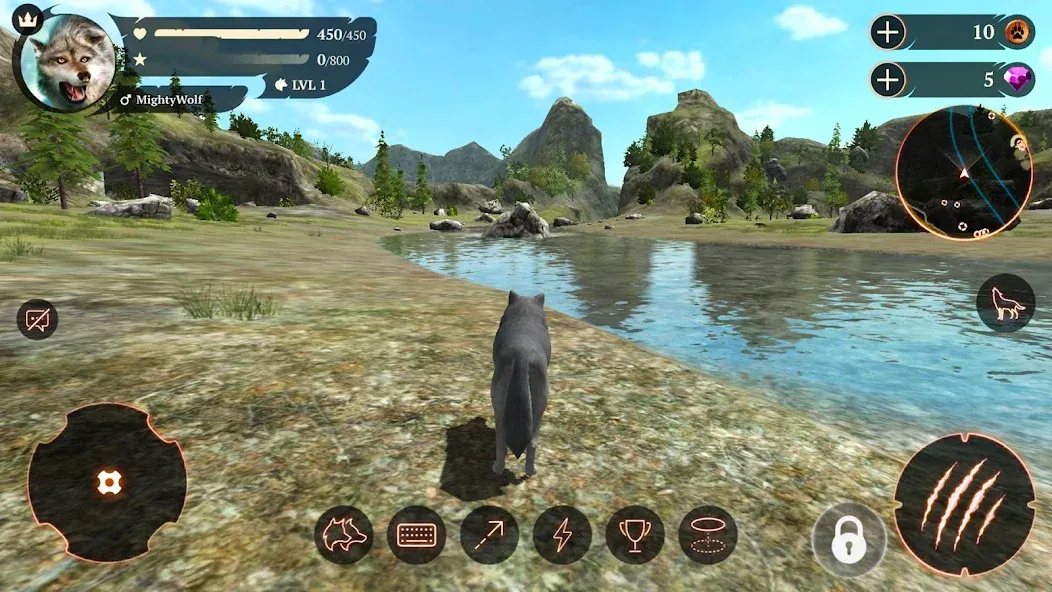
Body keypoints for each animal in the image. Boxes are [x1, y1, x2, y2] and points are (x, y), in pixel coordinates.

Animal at [491, 291, 551, 477]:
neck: (524, 314)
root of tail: (522, 353)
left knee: (502, 440)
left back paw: (498, 470)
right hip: (537, 407)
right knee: (531, 442)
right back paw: (530, 472)